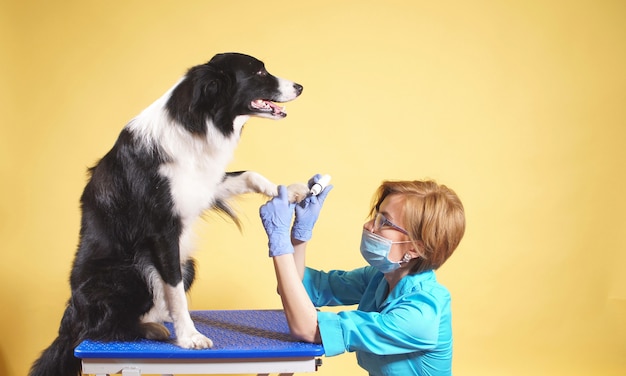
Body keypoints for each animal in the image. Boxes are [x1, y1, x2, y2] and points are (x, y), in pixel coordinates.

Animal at [29, 52, 308, 376]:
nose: (300, 86)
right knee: (102, 329)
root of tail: (71, 317)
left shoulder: (202, 185)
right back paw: (151, 329)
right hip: (128, 273)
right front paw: (190, 337)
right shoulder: (162, 230)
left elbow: (250, 174)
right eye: (260, 72)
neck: (199, 121)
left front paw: (291, 191)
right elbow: (174, 291)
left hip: (188, 264)